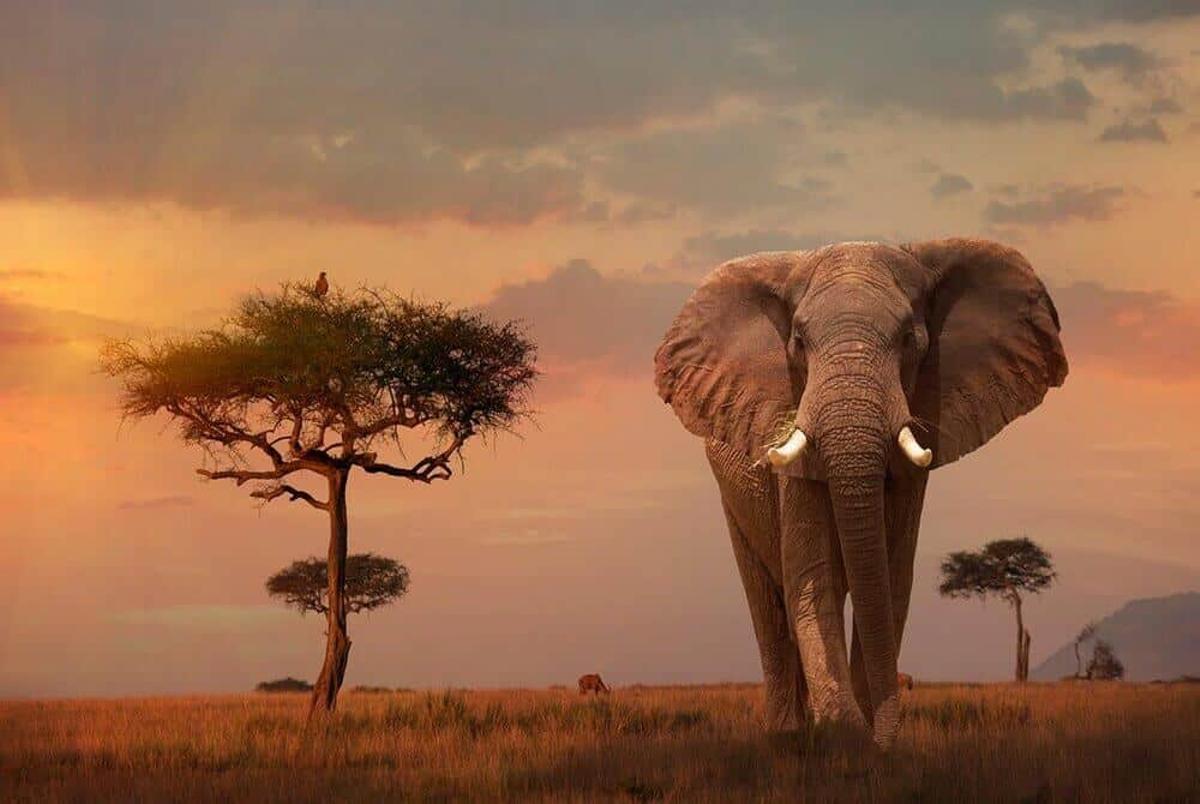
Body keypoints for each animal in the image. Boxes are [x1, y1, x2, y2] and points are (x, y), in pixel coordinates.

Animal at [654, 239, 1067, 748]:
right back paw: (788, 735)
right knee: (768, 604)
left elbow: (889, 578)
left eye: (910, 339)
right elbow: (815, 578)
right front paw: (843, 733)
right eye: (798, 342)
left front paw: (865, 739)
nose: (885, 740)